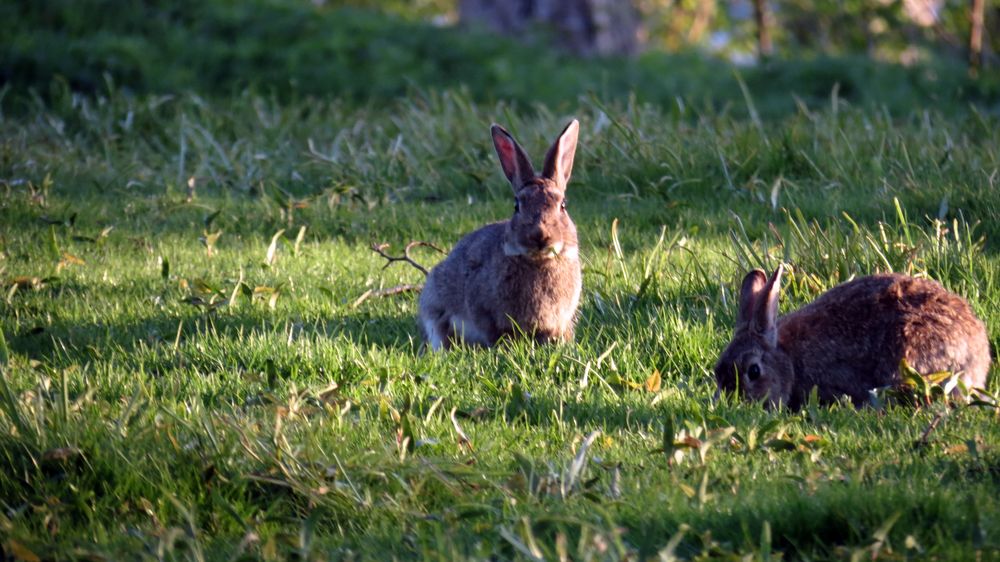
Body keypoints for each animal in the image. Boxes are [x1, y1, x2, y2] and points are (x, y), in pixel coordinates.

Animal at [416, 120, 584, 348]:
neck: (539, 260)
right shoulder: (483, 310)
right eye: (516, 206)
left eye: (563, 205)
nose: (539, 236)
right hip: (434, 304)